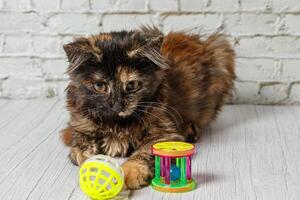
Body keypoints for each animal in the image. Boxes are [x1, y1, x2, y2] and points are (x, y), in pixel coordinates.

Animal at [60, 26, 234, 189]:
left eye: (132, 85)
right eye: (99, 86)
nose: (118, 105)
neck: (116, 124)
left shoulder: (164, 133)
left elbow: (145, 153)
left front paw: (130, 172)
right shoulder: (81, 127)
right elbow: (80, 147)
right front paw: (89, 160)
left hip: (222, 52)